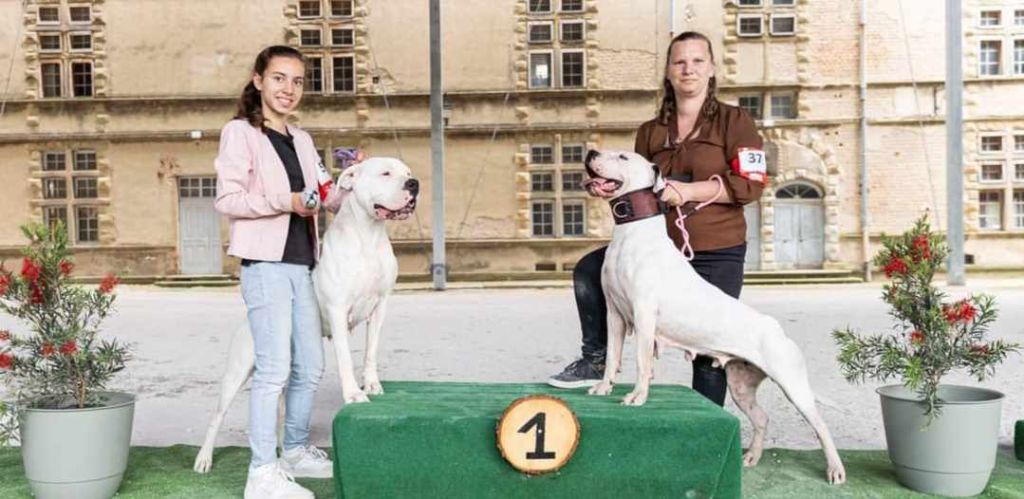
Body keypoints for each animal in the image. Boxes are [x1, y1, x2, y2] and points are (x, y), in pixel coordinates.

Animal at [192, 155, 415, 473]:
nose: (414, 184)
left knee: (281, 407)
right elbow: (346, 360)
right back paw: (204, 458)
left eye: (408, 172)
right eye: (385, 173)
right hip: (237, 371)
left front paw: (372, 384)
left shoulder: (380, 306)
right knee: (217, 416)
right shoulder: (337, 309)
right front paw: (353, 394)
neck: (368, 236)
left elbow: (370, 351)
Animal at [581, 149, 843, 483]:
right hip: (741, 386)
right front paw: (604, 388)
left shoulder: (643, 313)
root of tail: (777, 330)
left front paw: (637, 396)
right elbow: (613, 355)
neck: (631, 234)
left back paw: (835, 469)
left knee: (820, 425)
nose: (590, 152)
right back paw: (752, 457)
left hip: (792, 384)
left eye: (623, 156)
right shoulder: (615, 314)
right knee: (762, 417)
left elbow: (641, 362)